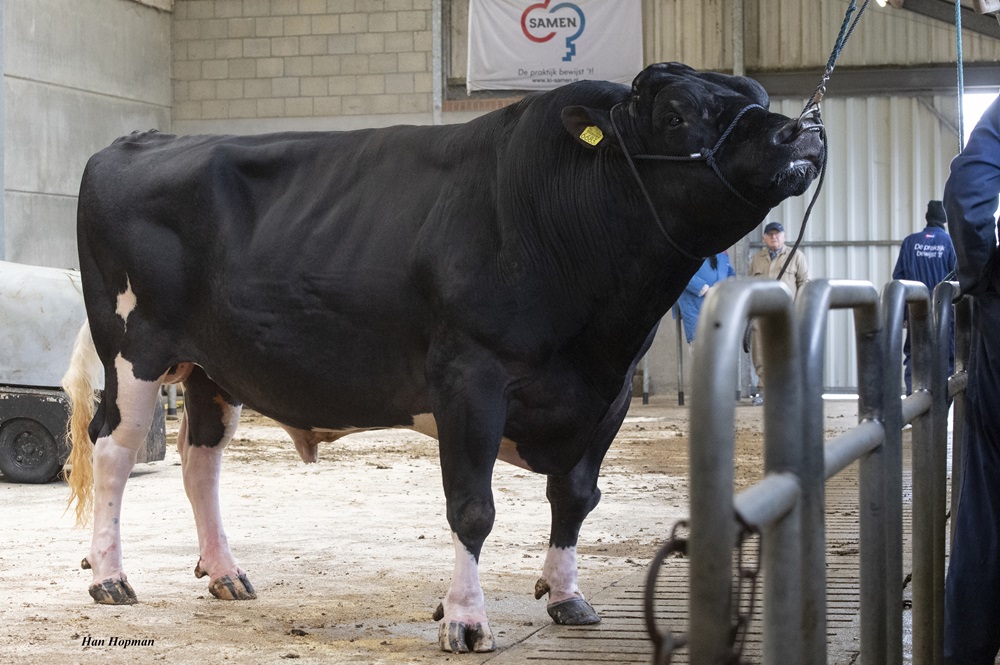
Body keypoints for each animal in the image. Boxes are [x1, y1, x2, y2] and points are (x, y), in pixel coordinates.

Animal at [62, 63, 824, 652]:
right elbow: (472, 507)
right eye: (676, 112)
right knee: (114, 450)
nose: (802, 132)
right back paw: (109, 577)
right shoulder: (469, 376)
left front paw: (566, 595)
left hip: (212, 369)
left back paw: (225, 572)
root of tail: (136, 141)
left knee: (201, 463)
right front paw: (464, 619)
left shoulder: (606, 396)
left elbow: (577, 496)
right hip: (134, 350)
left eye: (755, 93)